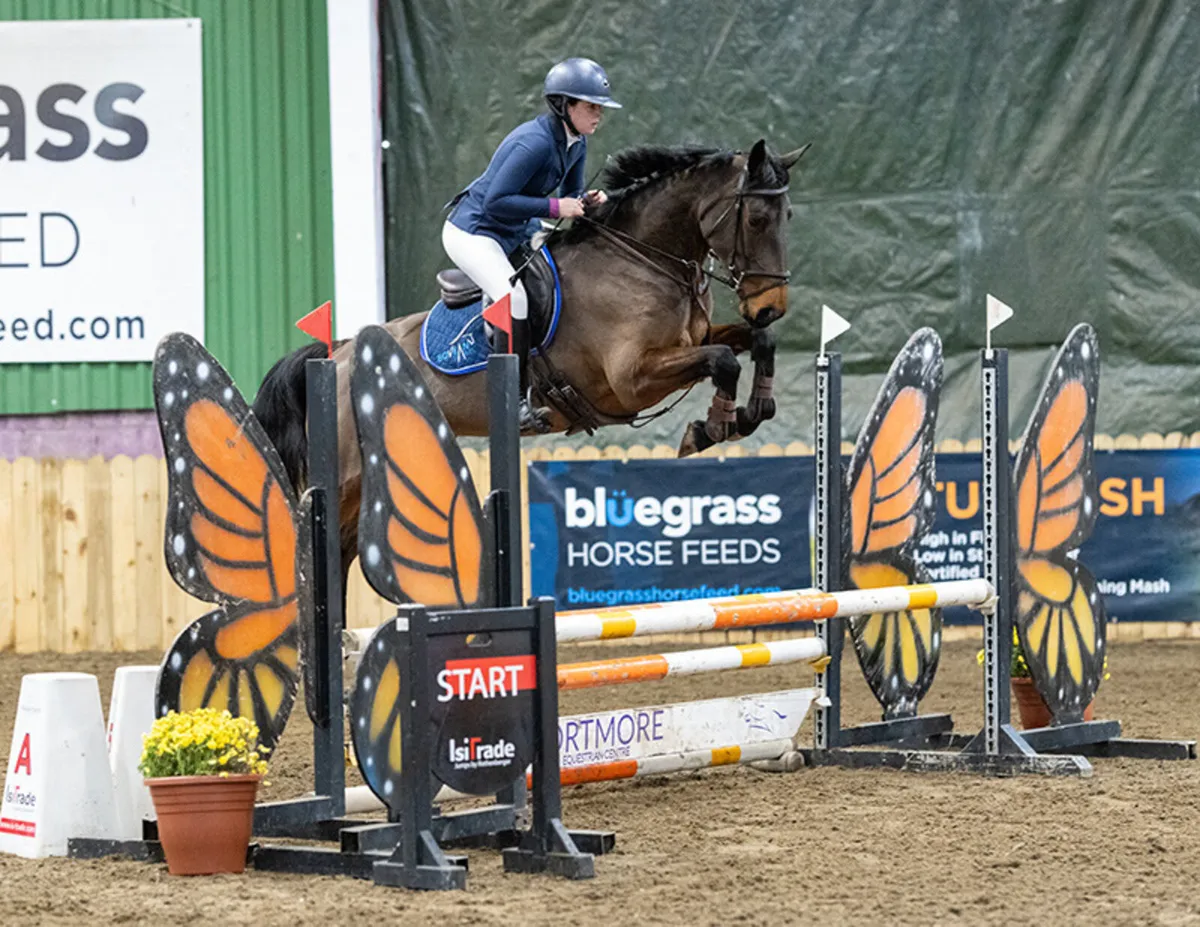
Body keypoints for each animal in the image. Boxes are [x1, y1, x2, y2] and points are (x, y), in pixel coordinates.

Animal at [253, 138, 806, 570]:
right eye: (757, 219)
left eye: (788, 217)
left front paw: (751, 412)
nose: (771, 306)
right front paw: (711, 427)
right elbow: (723, 359)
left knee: (345, 549)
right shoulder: (632, 379)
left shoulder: (693, 341)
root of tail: (341, 354)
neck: (644, 260)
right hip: (346, 475)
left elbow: (752, 345)